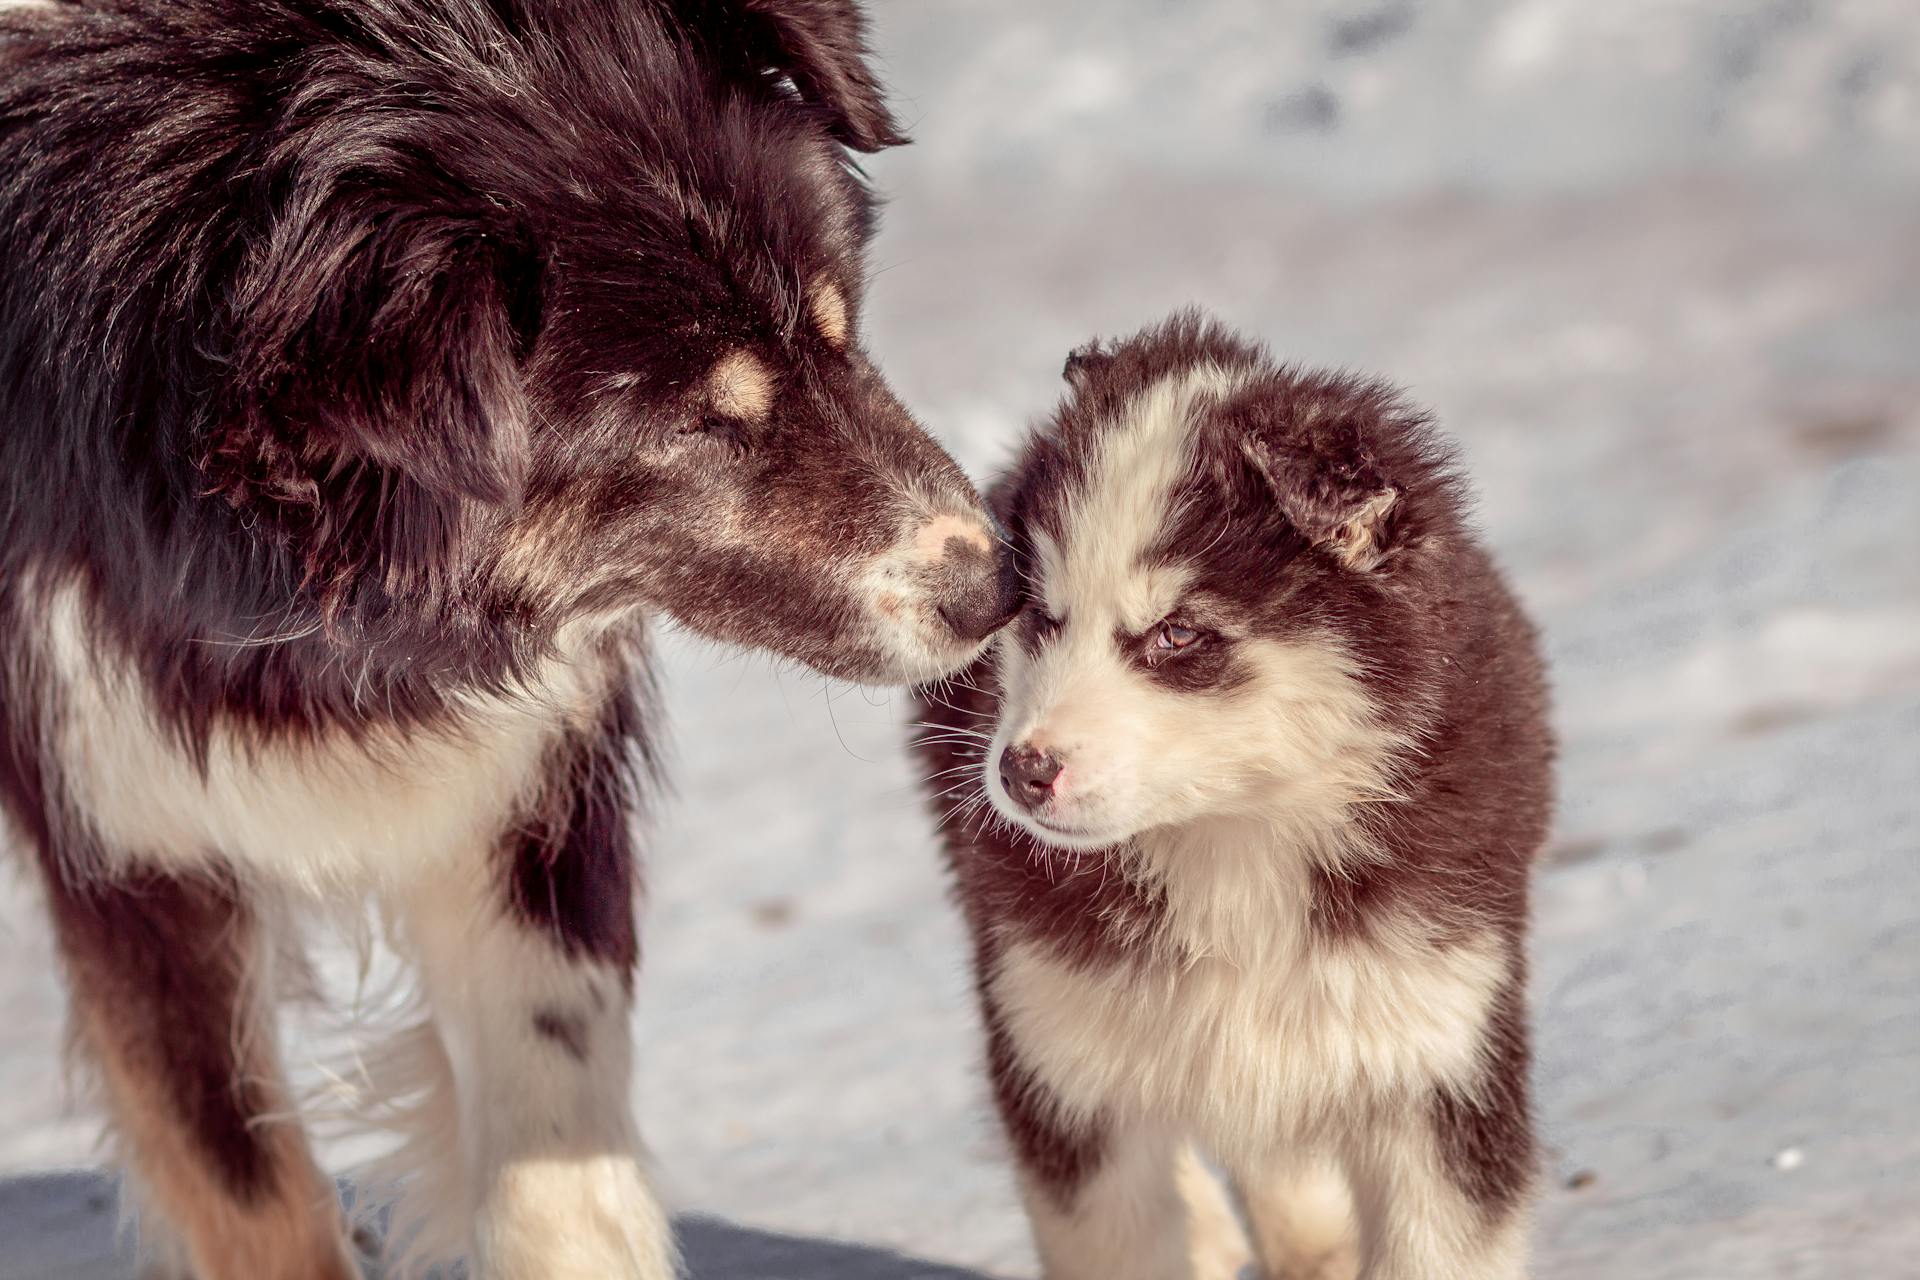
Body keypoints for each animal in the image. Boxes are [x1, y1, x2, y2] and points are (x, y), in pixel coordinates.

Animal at [0, 2, 1013, 1280]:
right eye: (704, 425)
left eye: (841, 332)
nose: (997, 586)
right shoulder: (118, 793)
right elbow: (244, 1179)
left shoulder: (526, 774)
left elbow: (555, 1130)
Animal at [913, 312, 1559, 1280]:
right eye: (1044, 616)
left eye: (1178, 633)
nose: (1021, 772)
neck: (1233, 838)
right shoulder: (1063, 1056)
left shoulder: (1437, 1044)